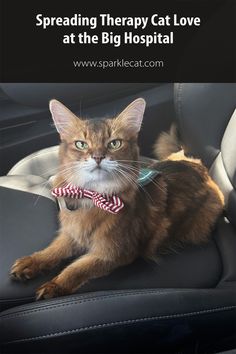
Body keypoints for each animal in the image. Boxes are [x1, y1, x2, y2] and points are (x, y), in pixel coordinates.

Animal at [10, 97, 224, 298]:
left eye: (114, 143)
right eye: (81, 144)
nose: (97, 157)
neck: (93, 197)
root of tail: (195, 162)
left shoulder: (114, 253)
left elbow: (77, 268)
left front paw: (55, 285)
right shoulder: (71, 234)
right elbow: (53, 250)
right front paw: (32, 262)